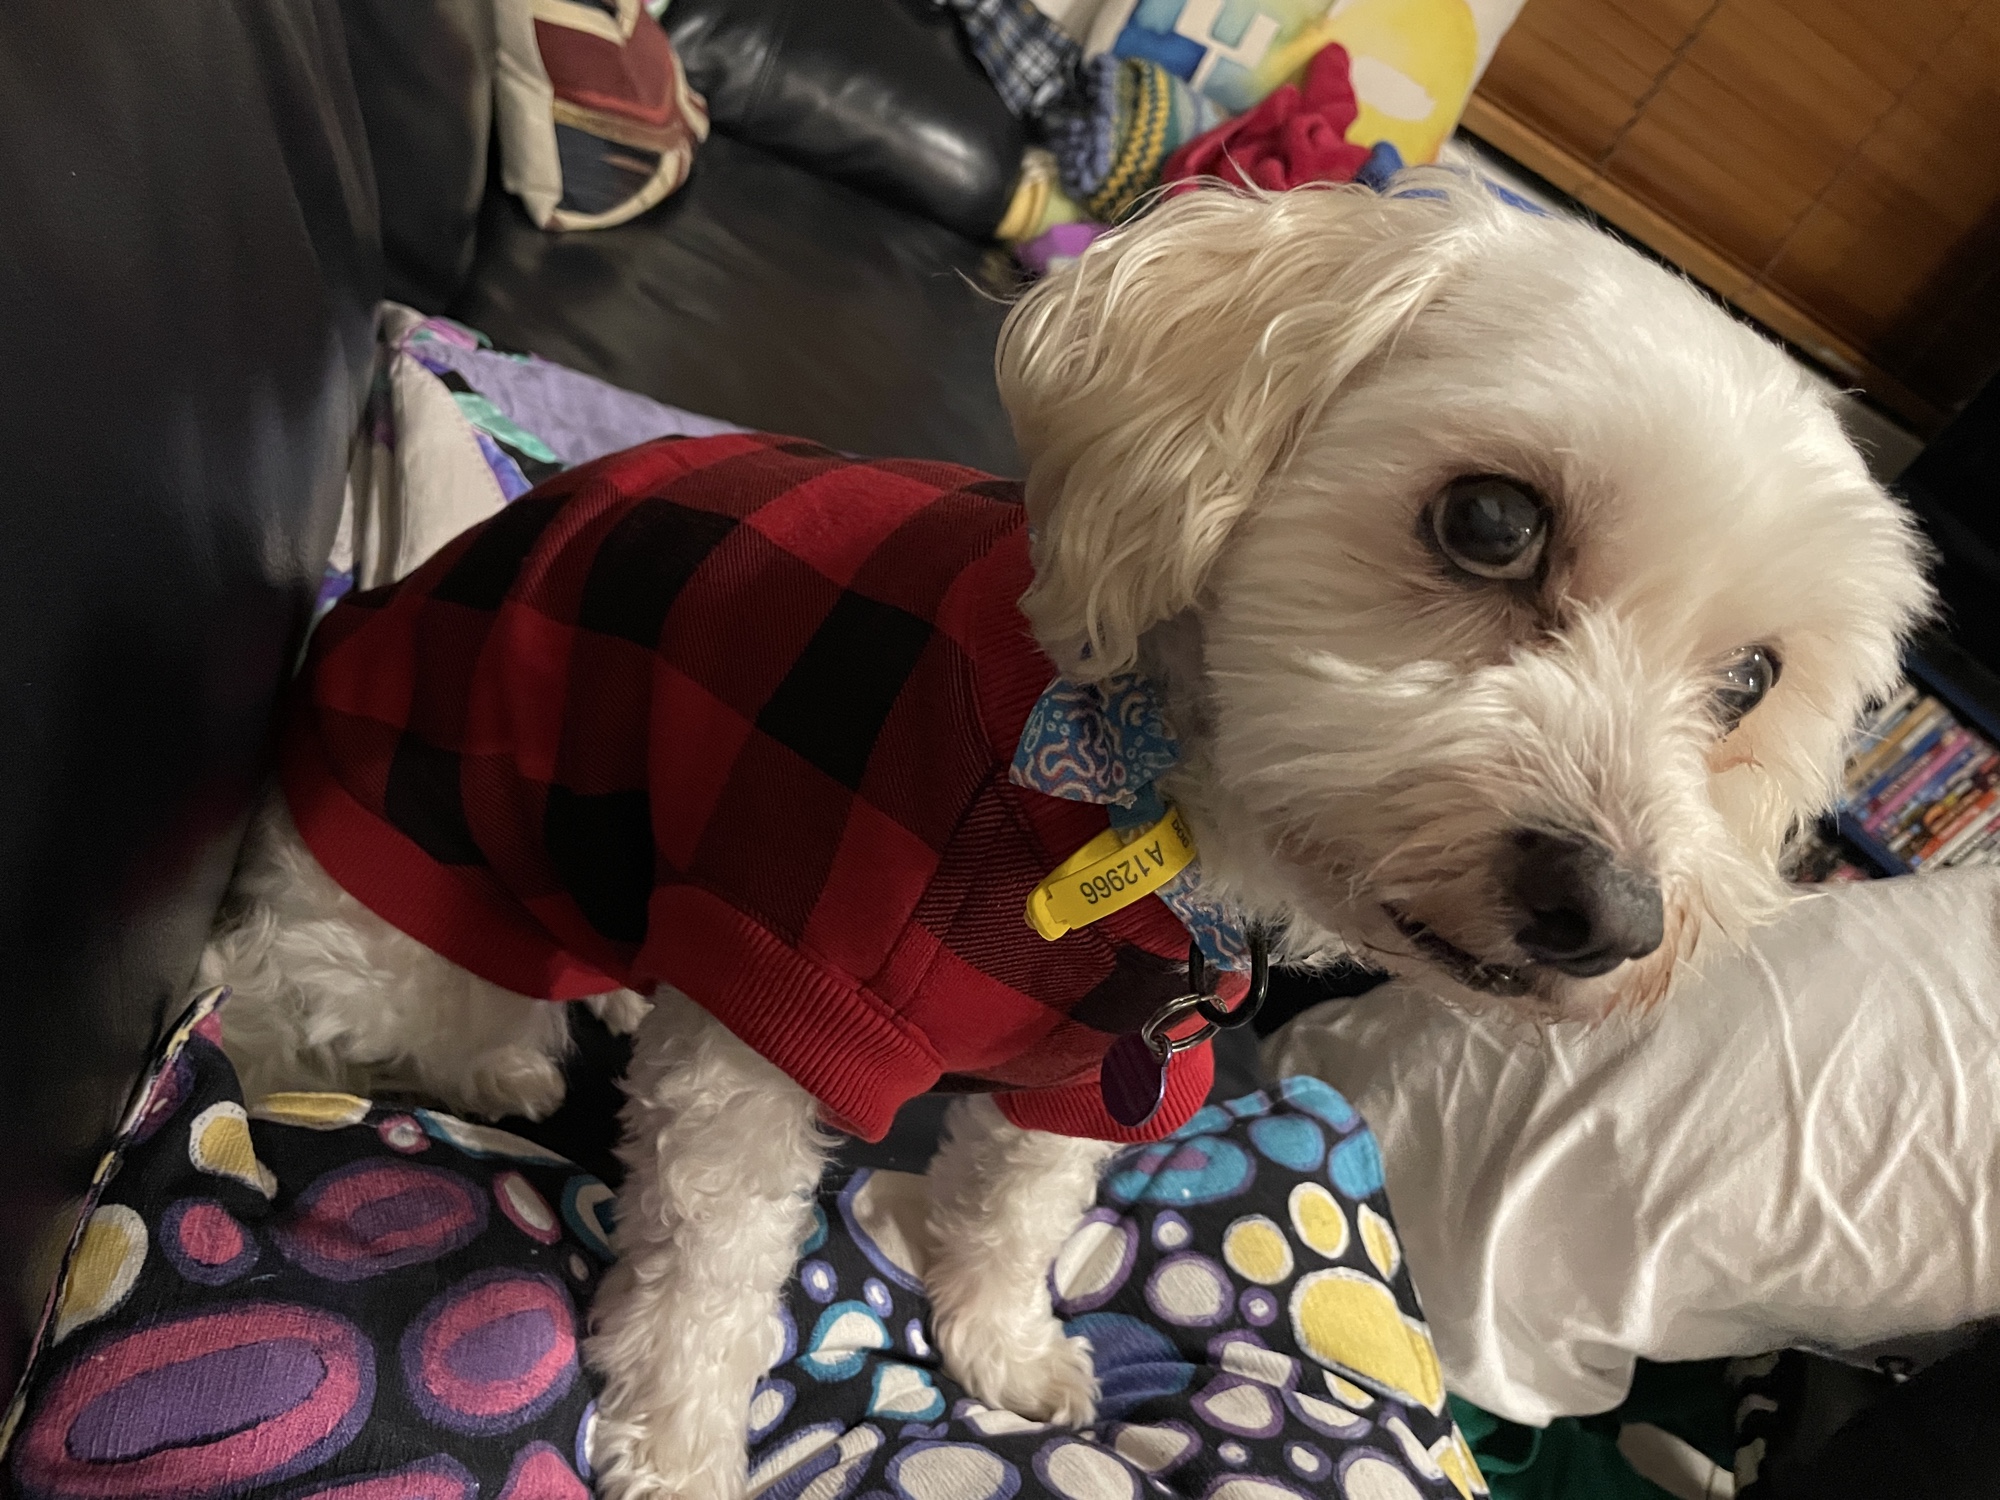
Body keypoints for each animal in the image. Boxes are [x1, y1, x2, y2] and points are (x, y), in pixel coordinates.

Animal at [200, 170, 1932, 1500]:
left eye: (1754, 680)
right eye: (1492, 521)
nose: (1610, 915)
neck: (1138, 809)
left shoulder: (1108, 1053)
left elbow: (1023, 1201)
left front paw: (1003, 1343)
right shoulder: (777, 997)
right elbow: (714, 1266)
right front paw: (682, 1449)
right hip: (386, 926)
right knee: (325, 1011)